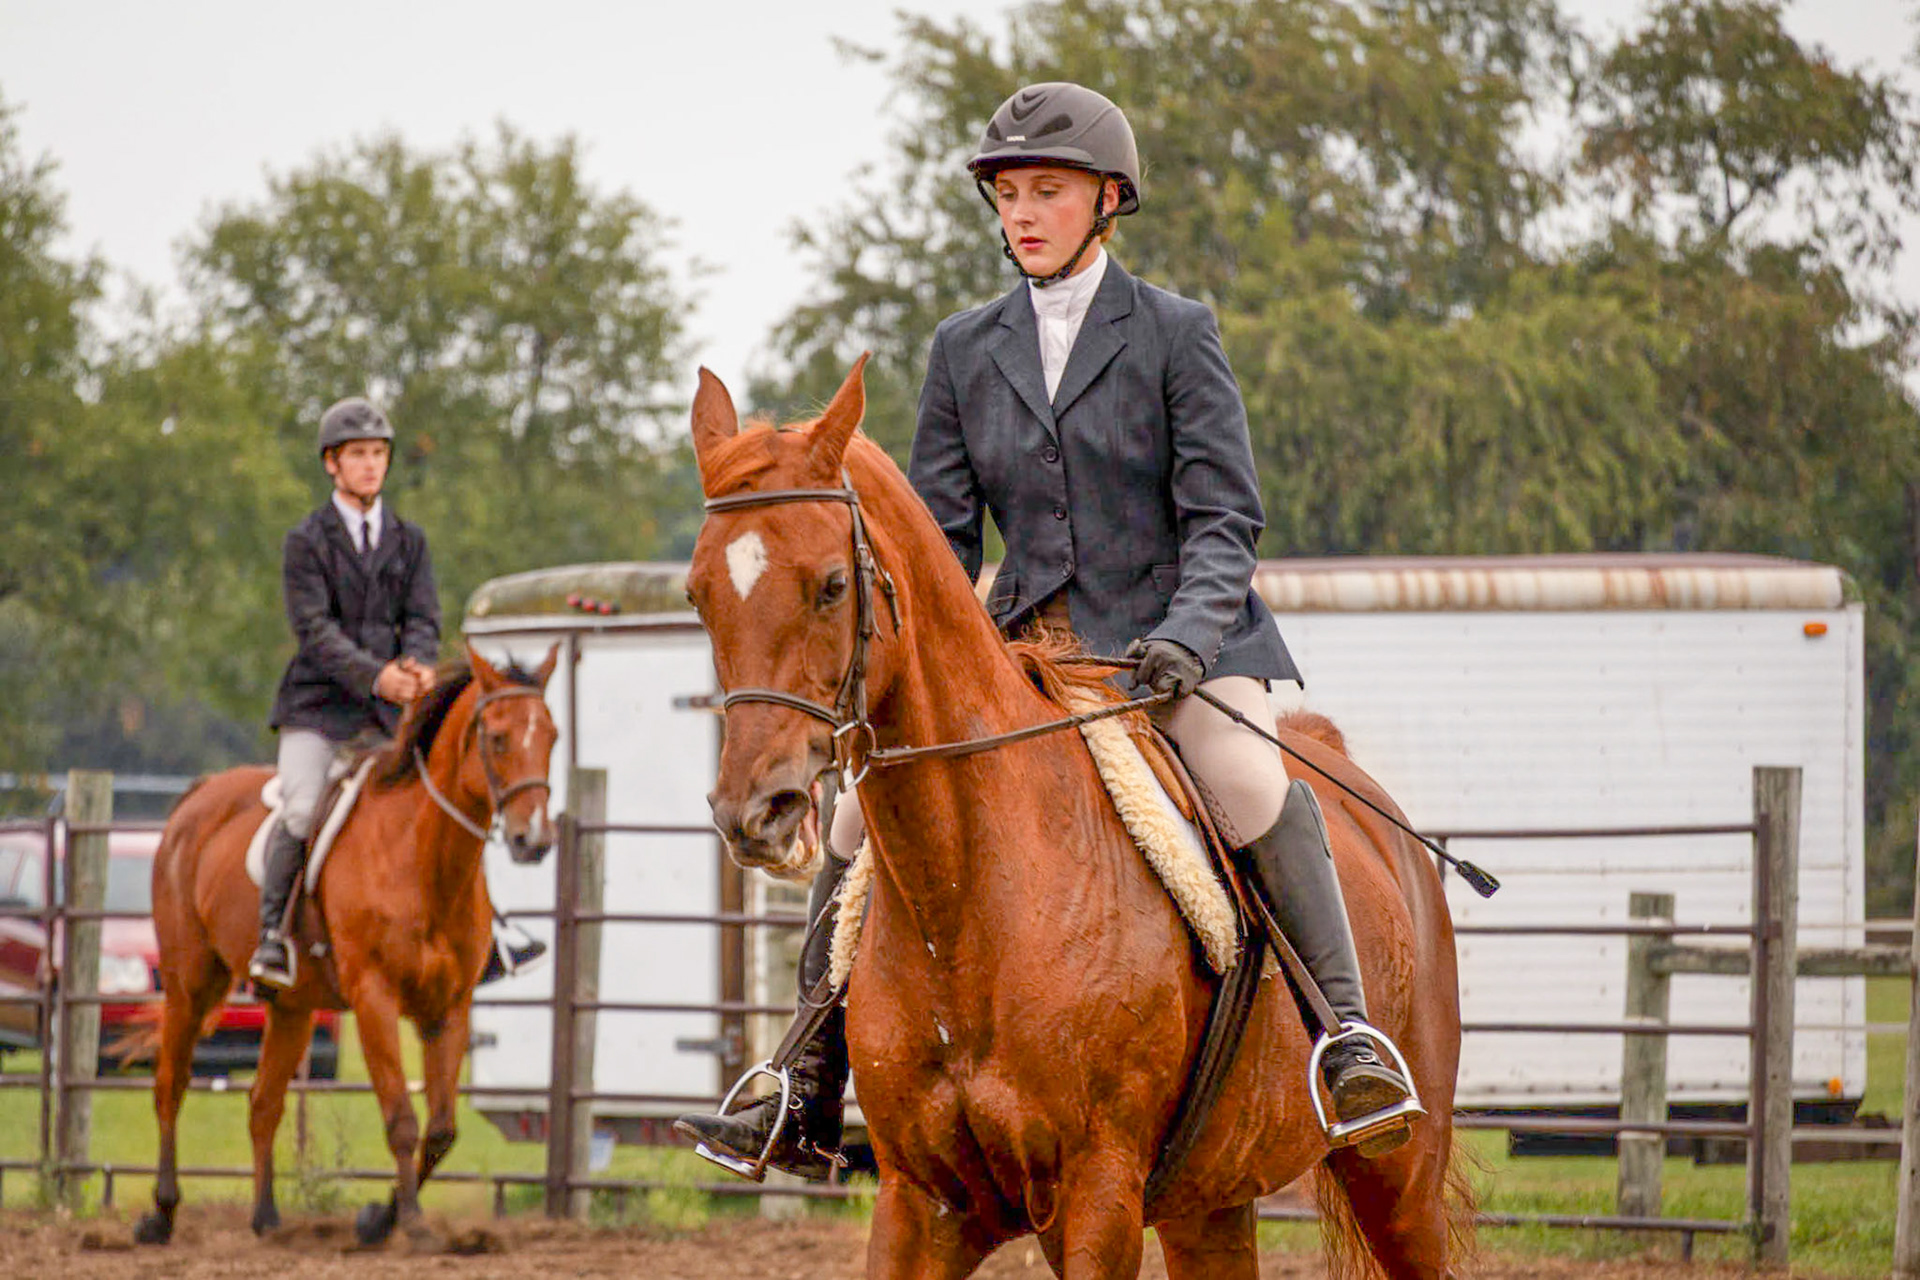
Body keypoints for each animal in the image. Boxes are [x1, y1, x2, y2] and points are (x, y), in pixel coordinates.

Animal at [133, 645, 559, 1250]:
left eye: (552, 736)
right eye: (497, 738)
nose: (534, 840)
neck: (420, 857)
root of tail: (198, 796)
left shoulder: (449, 1008)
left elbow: (441, 1130)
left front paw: (380, 1218)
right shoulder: (374, 998)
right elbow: (402, 1119)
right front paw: (411, 1224)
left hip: (292, 1007)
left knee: (263, 1103)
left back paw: (266, 1218)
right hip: (190, 984)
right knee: (171, 1084)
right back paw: (162, 1214)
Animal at [685, 357, 1468, 1278]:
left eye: (831, 586)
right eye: (698, 596)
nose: (755, 813)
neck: (967, 904)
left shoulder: (1096, 1195)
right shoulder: (921, 1202)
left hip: (1399, 1181)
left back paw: (1359, 1068)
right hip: (1211, 1200)